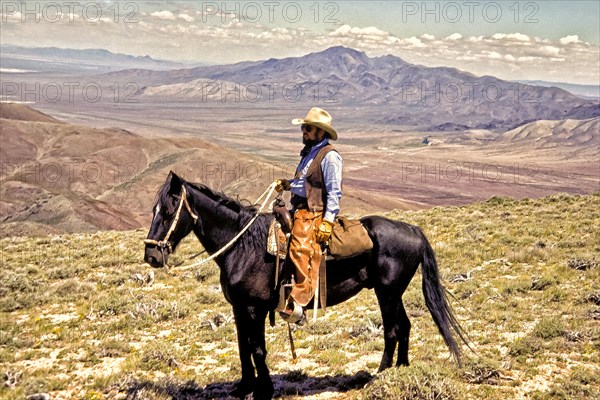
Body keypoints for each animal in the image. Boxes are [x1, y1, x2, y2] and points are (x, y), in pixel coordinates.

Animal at [145, 172, 468, 400]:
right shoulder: (239, 308)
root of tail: (413, 229)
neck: (242, 246)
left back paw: (380, 374)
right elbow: (242, 348)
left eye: (169, 211)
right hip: (393, 293)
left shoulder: (254, 308)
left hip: (386, 293)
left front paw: (264, 389)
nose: (151, 256)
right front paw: (244, 387)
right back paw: (401, 370)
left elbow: (257, 349)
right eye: (153, 210)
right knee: (405, 326)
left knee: (392, 329)